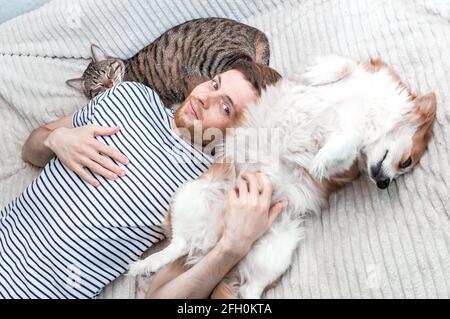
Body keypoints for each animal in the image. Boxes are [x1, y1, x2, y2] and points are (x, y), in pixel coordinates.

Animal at [129, 55, 436, 300]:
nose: (383, 183)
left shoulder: (346, 164)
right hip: (192, 195)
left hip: (277, 247)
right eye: (407, 162)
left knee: (247, 288)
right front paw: (320, 72)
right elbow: (342, 63)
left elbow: (345, 142)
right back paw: (146, 264)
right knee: (179, 244)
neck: (370, 107)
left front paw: (322, 159)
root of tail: (213, 243)